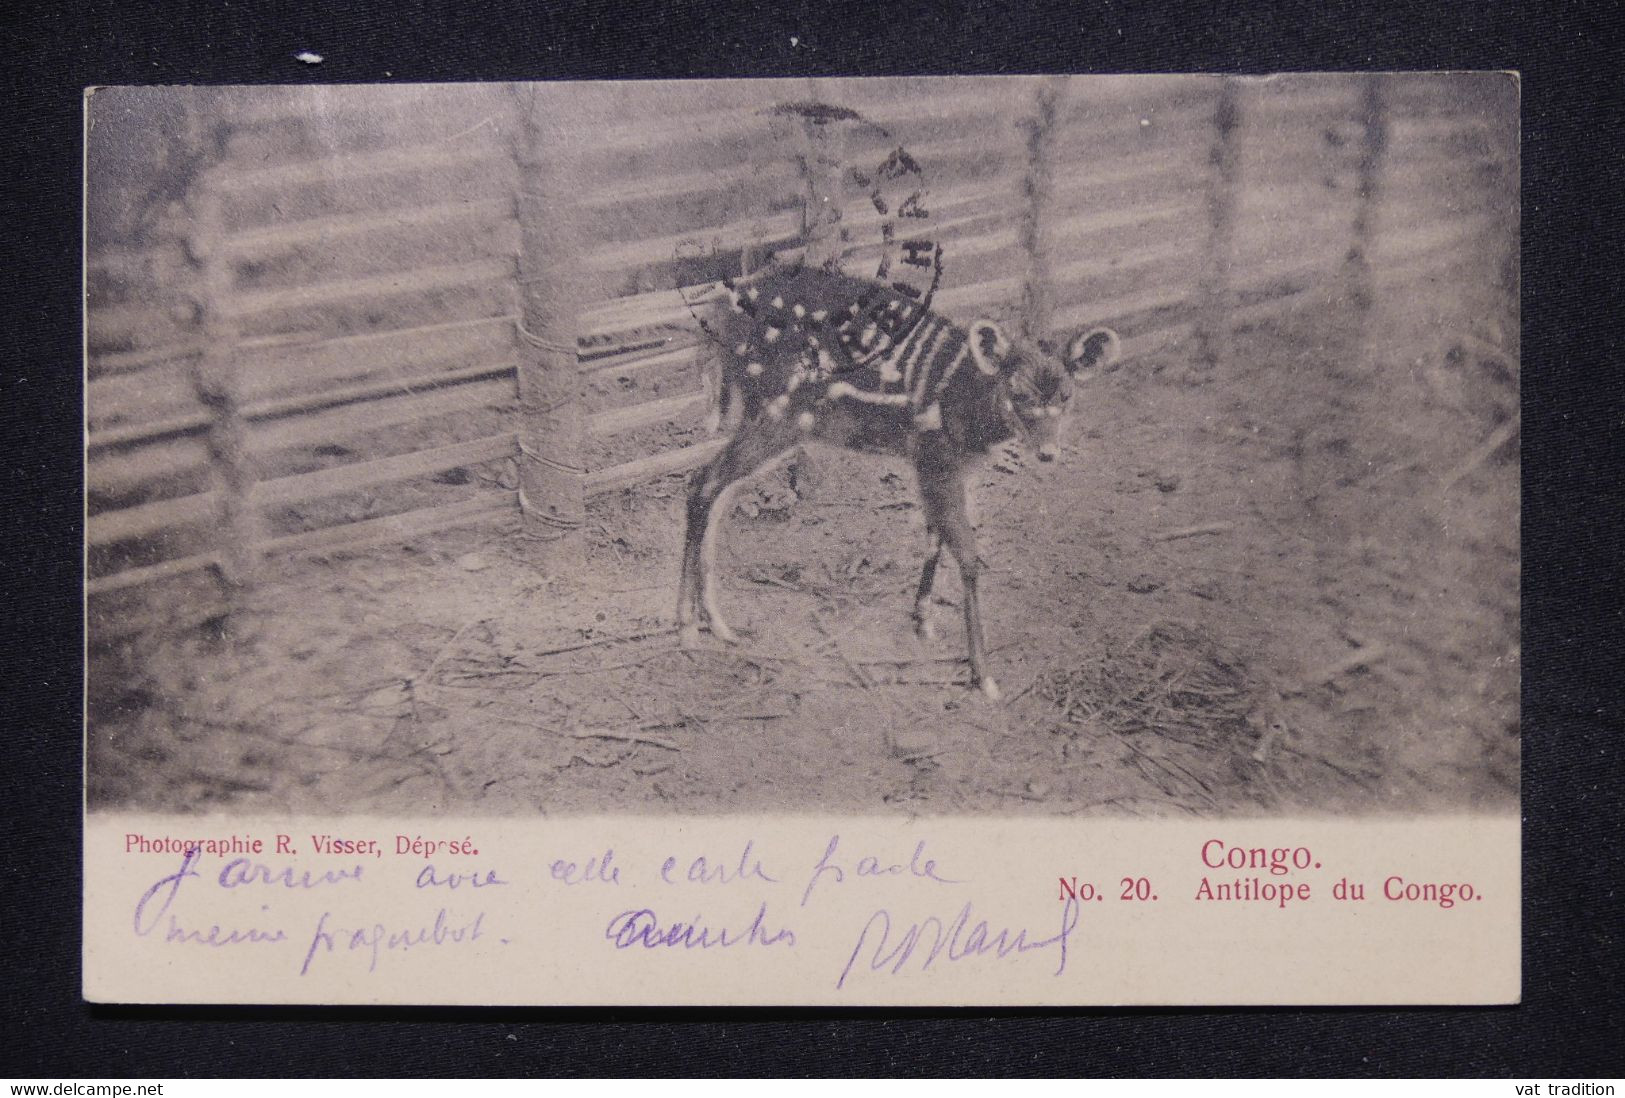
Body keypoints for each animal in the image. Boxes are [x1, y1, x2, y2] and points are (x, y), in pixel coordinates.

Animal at [672, 266, 1118, 698]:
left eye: (1066, 395)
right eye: (1019, 393)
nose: (1048, 453)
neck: (966, 403)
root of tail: (715, 320)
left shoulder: (942, 464)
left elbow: (934, 534)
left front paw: (923, 621)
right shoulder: (936, 455)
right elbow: (968, 553)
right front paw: (984, 676)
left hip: (772, 424)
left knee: (719, 493)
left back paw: (719, 625)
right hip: (776, 415)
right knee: (702, 481)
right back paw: (687, 628)